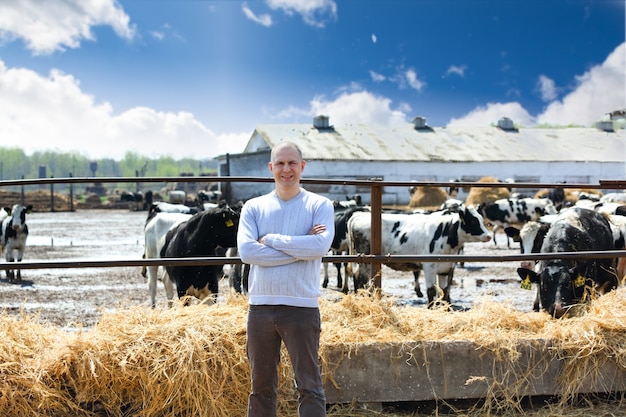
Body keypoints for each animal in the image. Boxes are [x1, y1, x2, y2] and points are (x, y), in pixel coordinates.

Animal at [346, 206, 488, 308]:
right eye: (473, 220)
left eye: (481, 219)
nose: (488, 236)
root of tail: (359, 215)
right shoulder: (429, 267)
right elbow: (431, 292)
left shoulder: (445, 268)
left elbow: (444, 291)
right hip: (365, 261)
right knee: (360, 279)